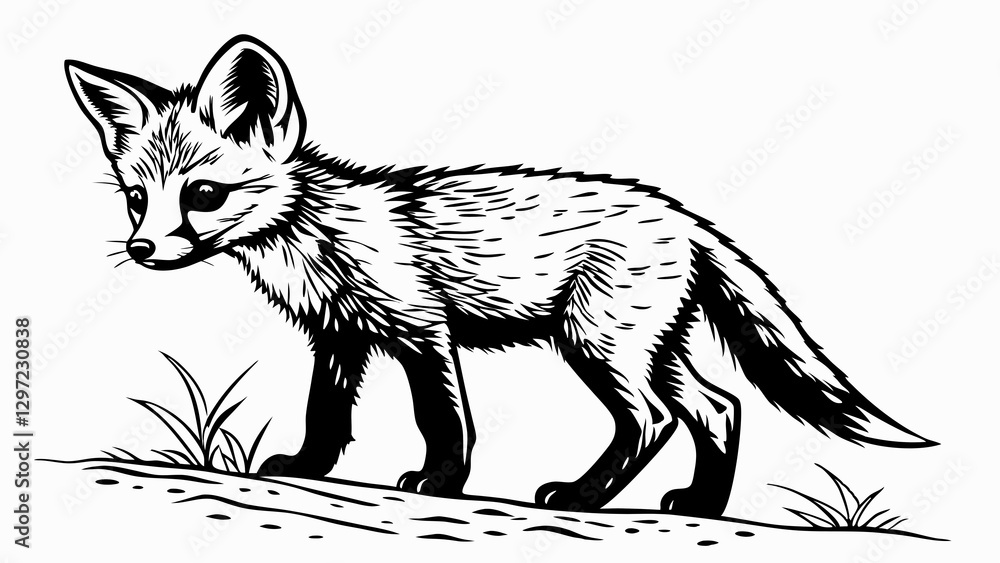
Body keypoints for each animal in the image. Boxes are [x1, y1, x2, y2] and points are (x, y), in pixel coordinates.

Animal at [66, 35, 934, 517]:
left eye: (204, 195)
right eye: (138, 198)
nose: (142, 249)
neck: (315, 237)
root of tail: (686, 217)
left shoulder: (421, 328)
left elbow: (441, 417)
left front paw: (442, 480)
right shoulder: (340, 334)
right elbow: (324, 416)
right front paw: (307, 468)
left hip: (597, 344)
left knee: (653, 419)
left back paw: (583, 496)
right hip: (652, 347)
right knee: (718, 407)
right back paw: (701, 507)